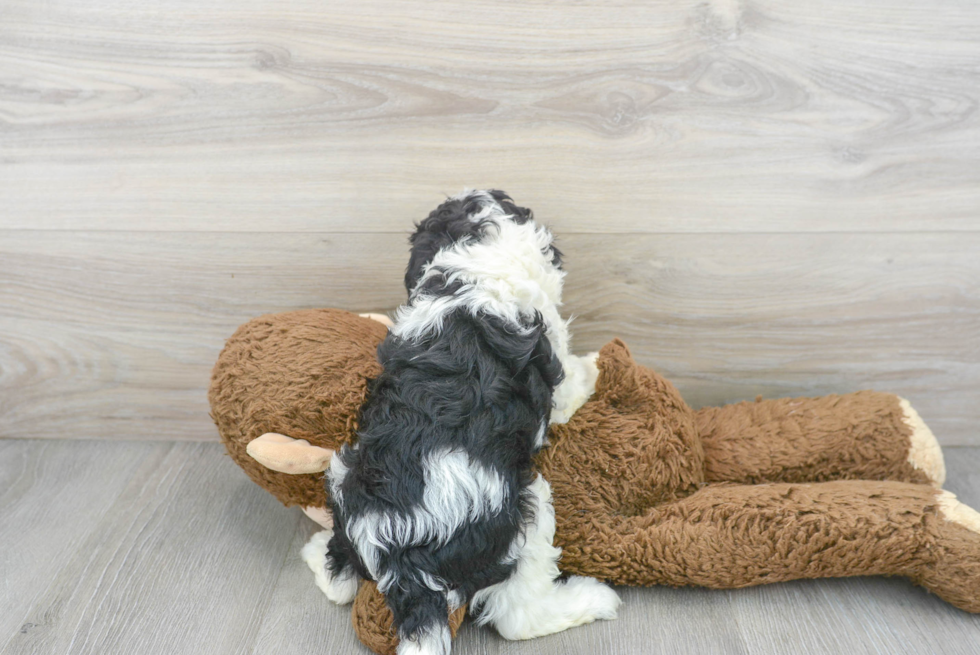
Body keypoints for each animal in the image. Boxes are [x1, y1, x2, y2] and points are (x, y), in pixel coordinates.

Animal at [316, 190, 620, 655]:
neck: (473, 269)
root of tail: (403, 554)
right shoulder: (555, 365)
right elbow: (574, 381)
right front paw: (595, 364)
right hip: (520, 511)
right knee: (518, 616)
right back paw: (593, 598)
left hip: (343, 475)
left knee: (339, 577)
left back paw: (320, 556)